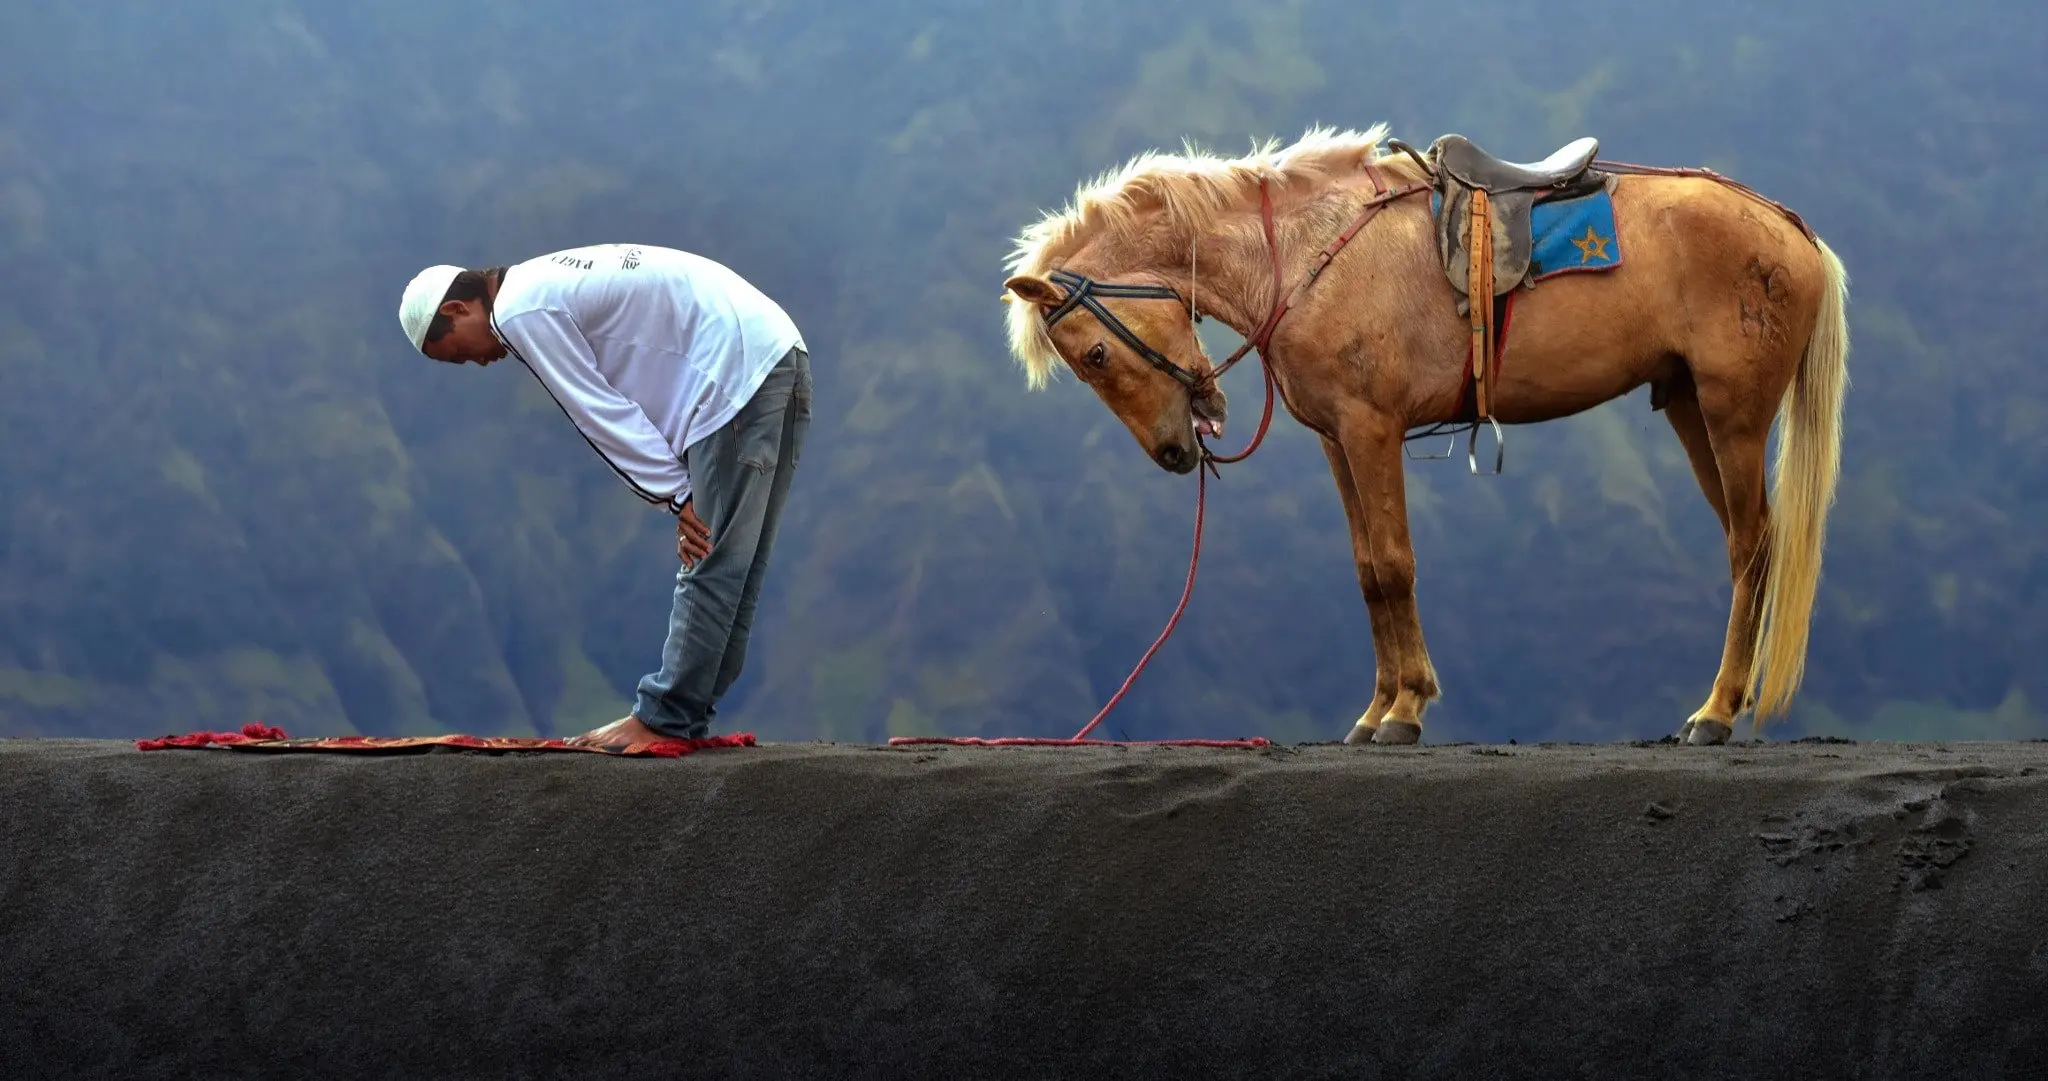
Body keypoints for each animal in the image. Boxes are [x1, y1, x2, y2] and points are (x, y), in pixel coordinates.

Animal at [999, 120, 1851, 745]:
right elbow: (1367, 570)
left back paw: (1717, 711)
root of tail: (1790, 231)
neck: (1304, 254)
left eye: (1095, 354)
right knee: (1750, 539)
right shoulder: (1337, 439)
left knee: (1751, 545)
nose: (1176, 451)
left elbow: (1395, 564)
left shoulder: (1372, 428)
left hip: (1733, 413)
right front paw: (1379, 707)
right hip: (1688, 407)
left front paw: (1405, 710)